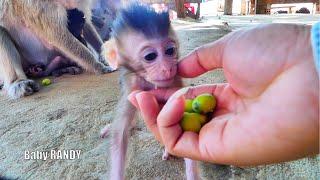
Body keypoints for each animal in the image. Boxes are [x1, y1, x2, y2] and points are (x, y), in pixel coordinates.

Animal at [101, 3, 199, 180]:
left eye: (170, 50)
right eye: (150, 56)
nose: (167, 68)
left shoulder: (175, 82)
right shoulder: (133, 88)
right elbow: (120, 135)